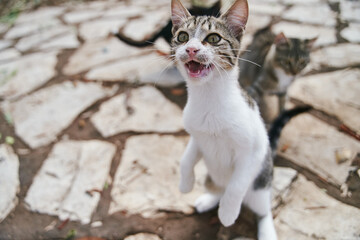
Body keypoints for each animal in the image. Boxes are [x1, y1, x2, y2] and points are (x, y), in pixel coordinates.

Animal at [170, 0, 278, 239]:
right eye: (182, 36)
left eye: (213, 38)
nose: (191, 49)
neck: (209, 98)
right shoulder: (197, 136)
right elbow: (186, 159)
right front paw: (185, 184)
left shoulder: (253, 150)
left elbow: (236, 186)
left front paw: (228, 214)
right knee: (219, 187)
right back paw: (209, 199)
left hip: (259, 185)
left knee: (262, 209)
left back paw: (265, 228)